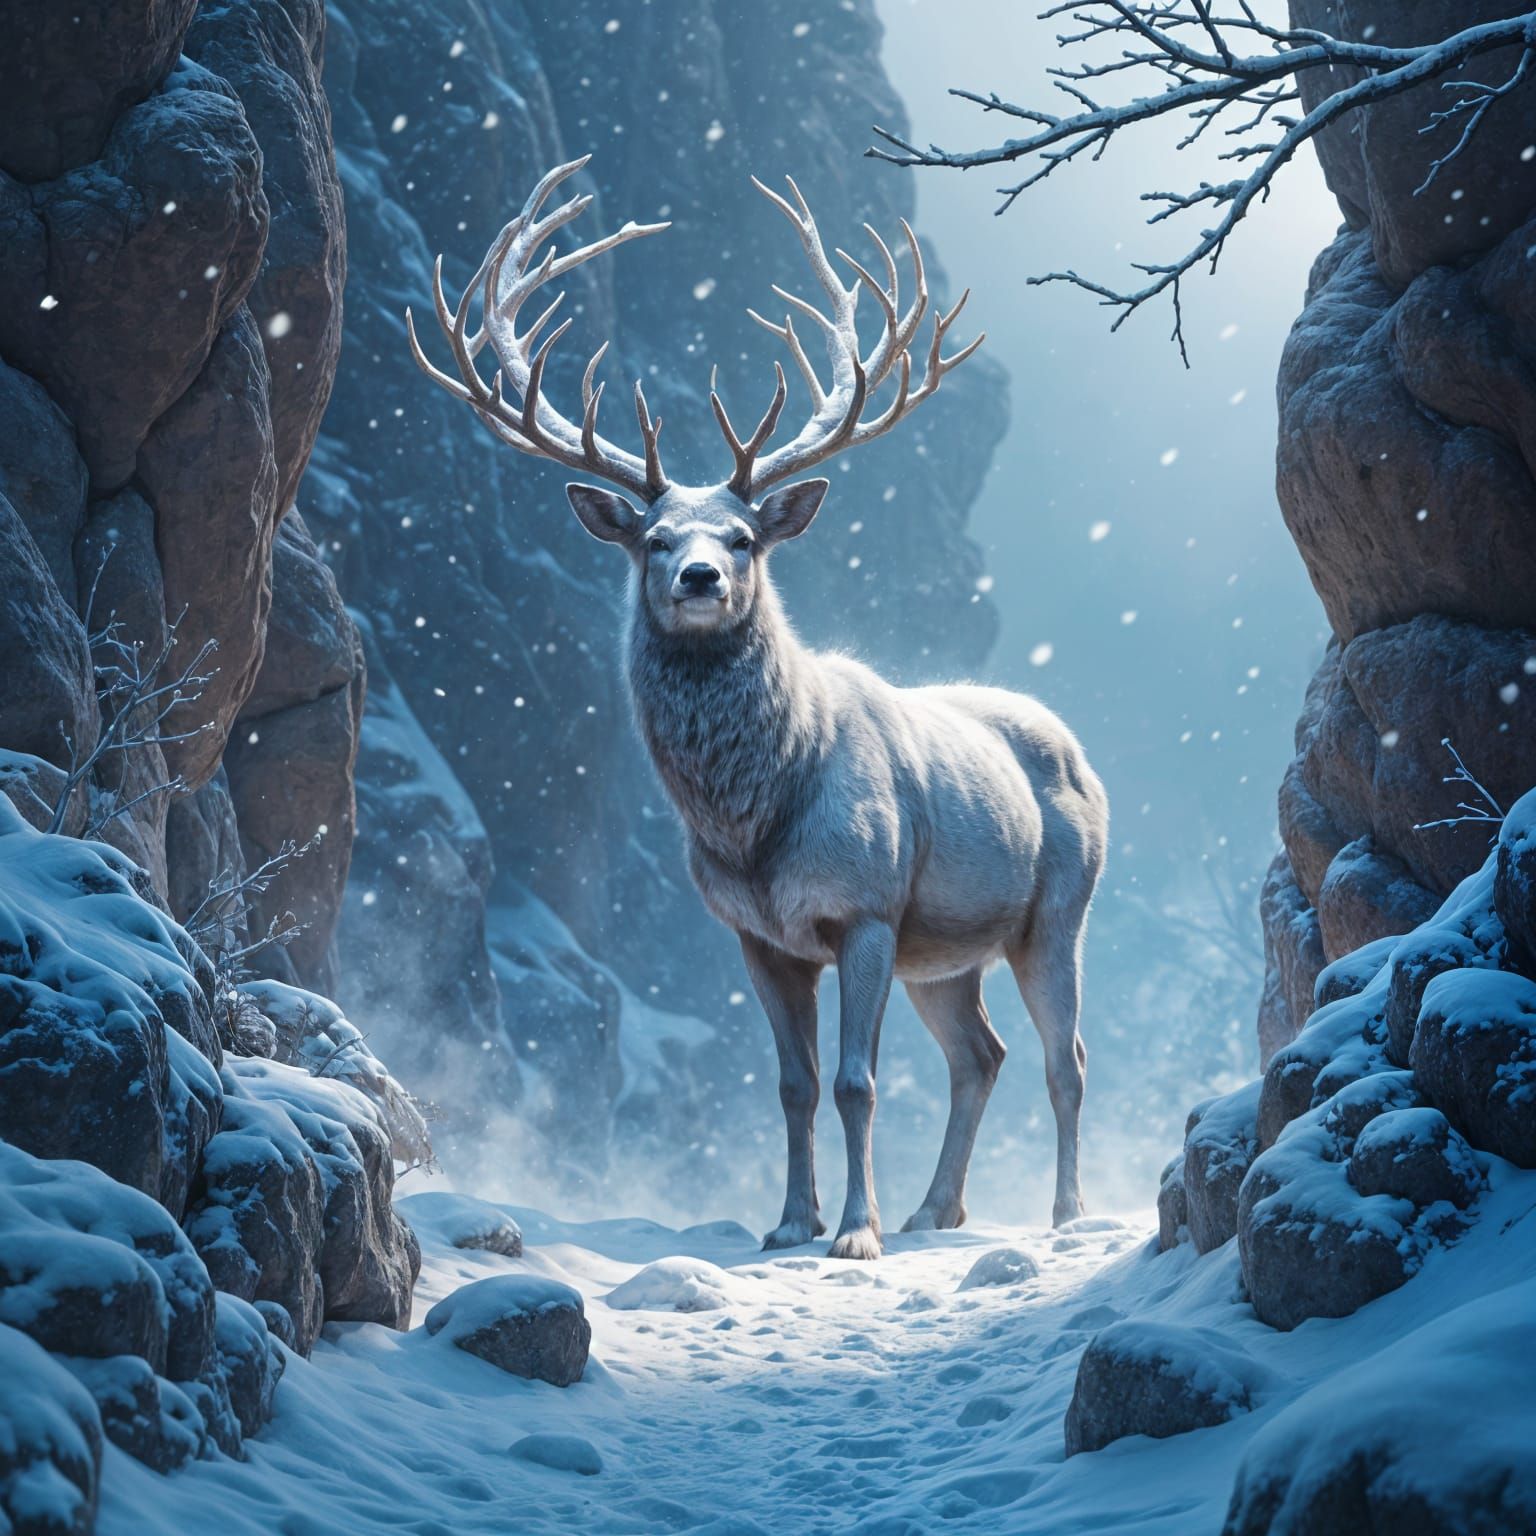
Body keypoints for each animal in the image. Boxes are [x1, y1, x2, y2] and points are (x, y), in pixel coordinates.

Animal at [408, 157, 1108, 1258]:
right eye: (652, 539)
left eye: (742, 537)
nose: (697, 576)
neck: (756, 819)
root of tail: (1077, 748)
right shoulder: (757, 935)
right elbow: (793, 1085)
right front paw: (789, 1224)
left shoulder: (864, 906)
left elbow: (858, 1083)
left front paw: (855, 1234)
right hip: (944, 950)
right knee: (981, 1054)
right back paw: (935, 1210)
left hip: (1058, 909)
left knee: (1064, 1058)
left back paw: (1065, 1215)